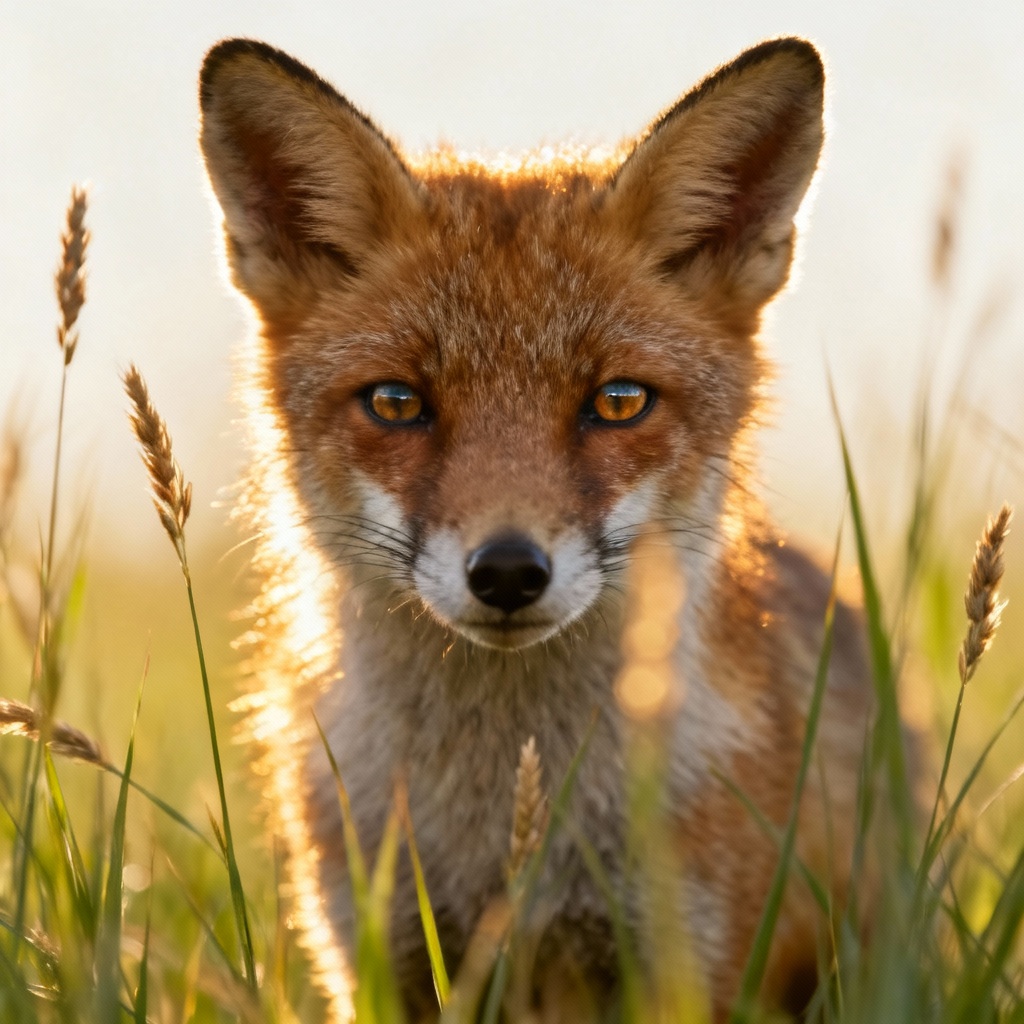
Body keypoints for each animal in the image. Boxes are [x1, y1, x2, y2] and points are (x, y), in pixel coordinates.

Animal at [198, 36, 874, 1022]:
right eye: (397, 403)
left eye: (619, 402)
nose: (510, 572)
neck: (501, 834)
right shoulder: (378, 956)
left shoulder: (681, 963)